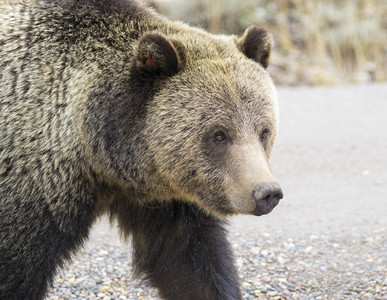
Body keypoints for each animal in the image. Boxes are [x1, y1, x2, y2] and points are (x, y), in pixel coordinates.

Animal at [0, 0, 284, 300]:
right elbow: (18, 267)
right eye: (219, 135)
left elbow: (190, 260)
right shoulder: (35, 186)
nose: (266, 192)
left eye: (263, 131)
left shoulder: (165, 198)